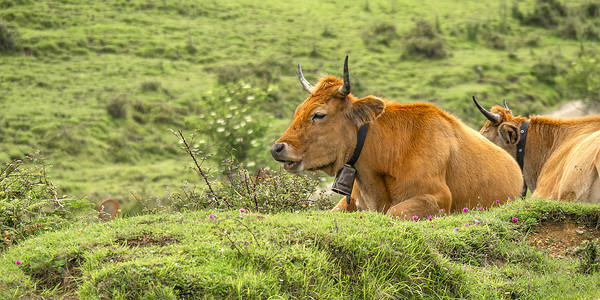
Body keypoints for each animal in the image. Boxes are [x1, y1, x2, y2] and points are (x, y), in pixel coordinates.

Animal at [270, 56, 524, 219]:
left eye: (319, 114)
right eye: (298, 110)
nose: (277, 148)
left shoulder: (437, 199)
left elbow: (392, 213)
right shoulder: (349, 202)